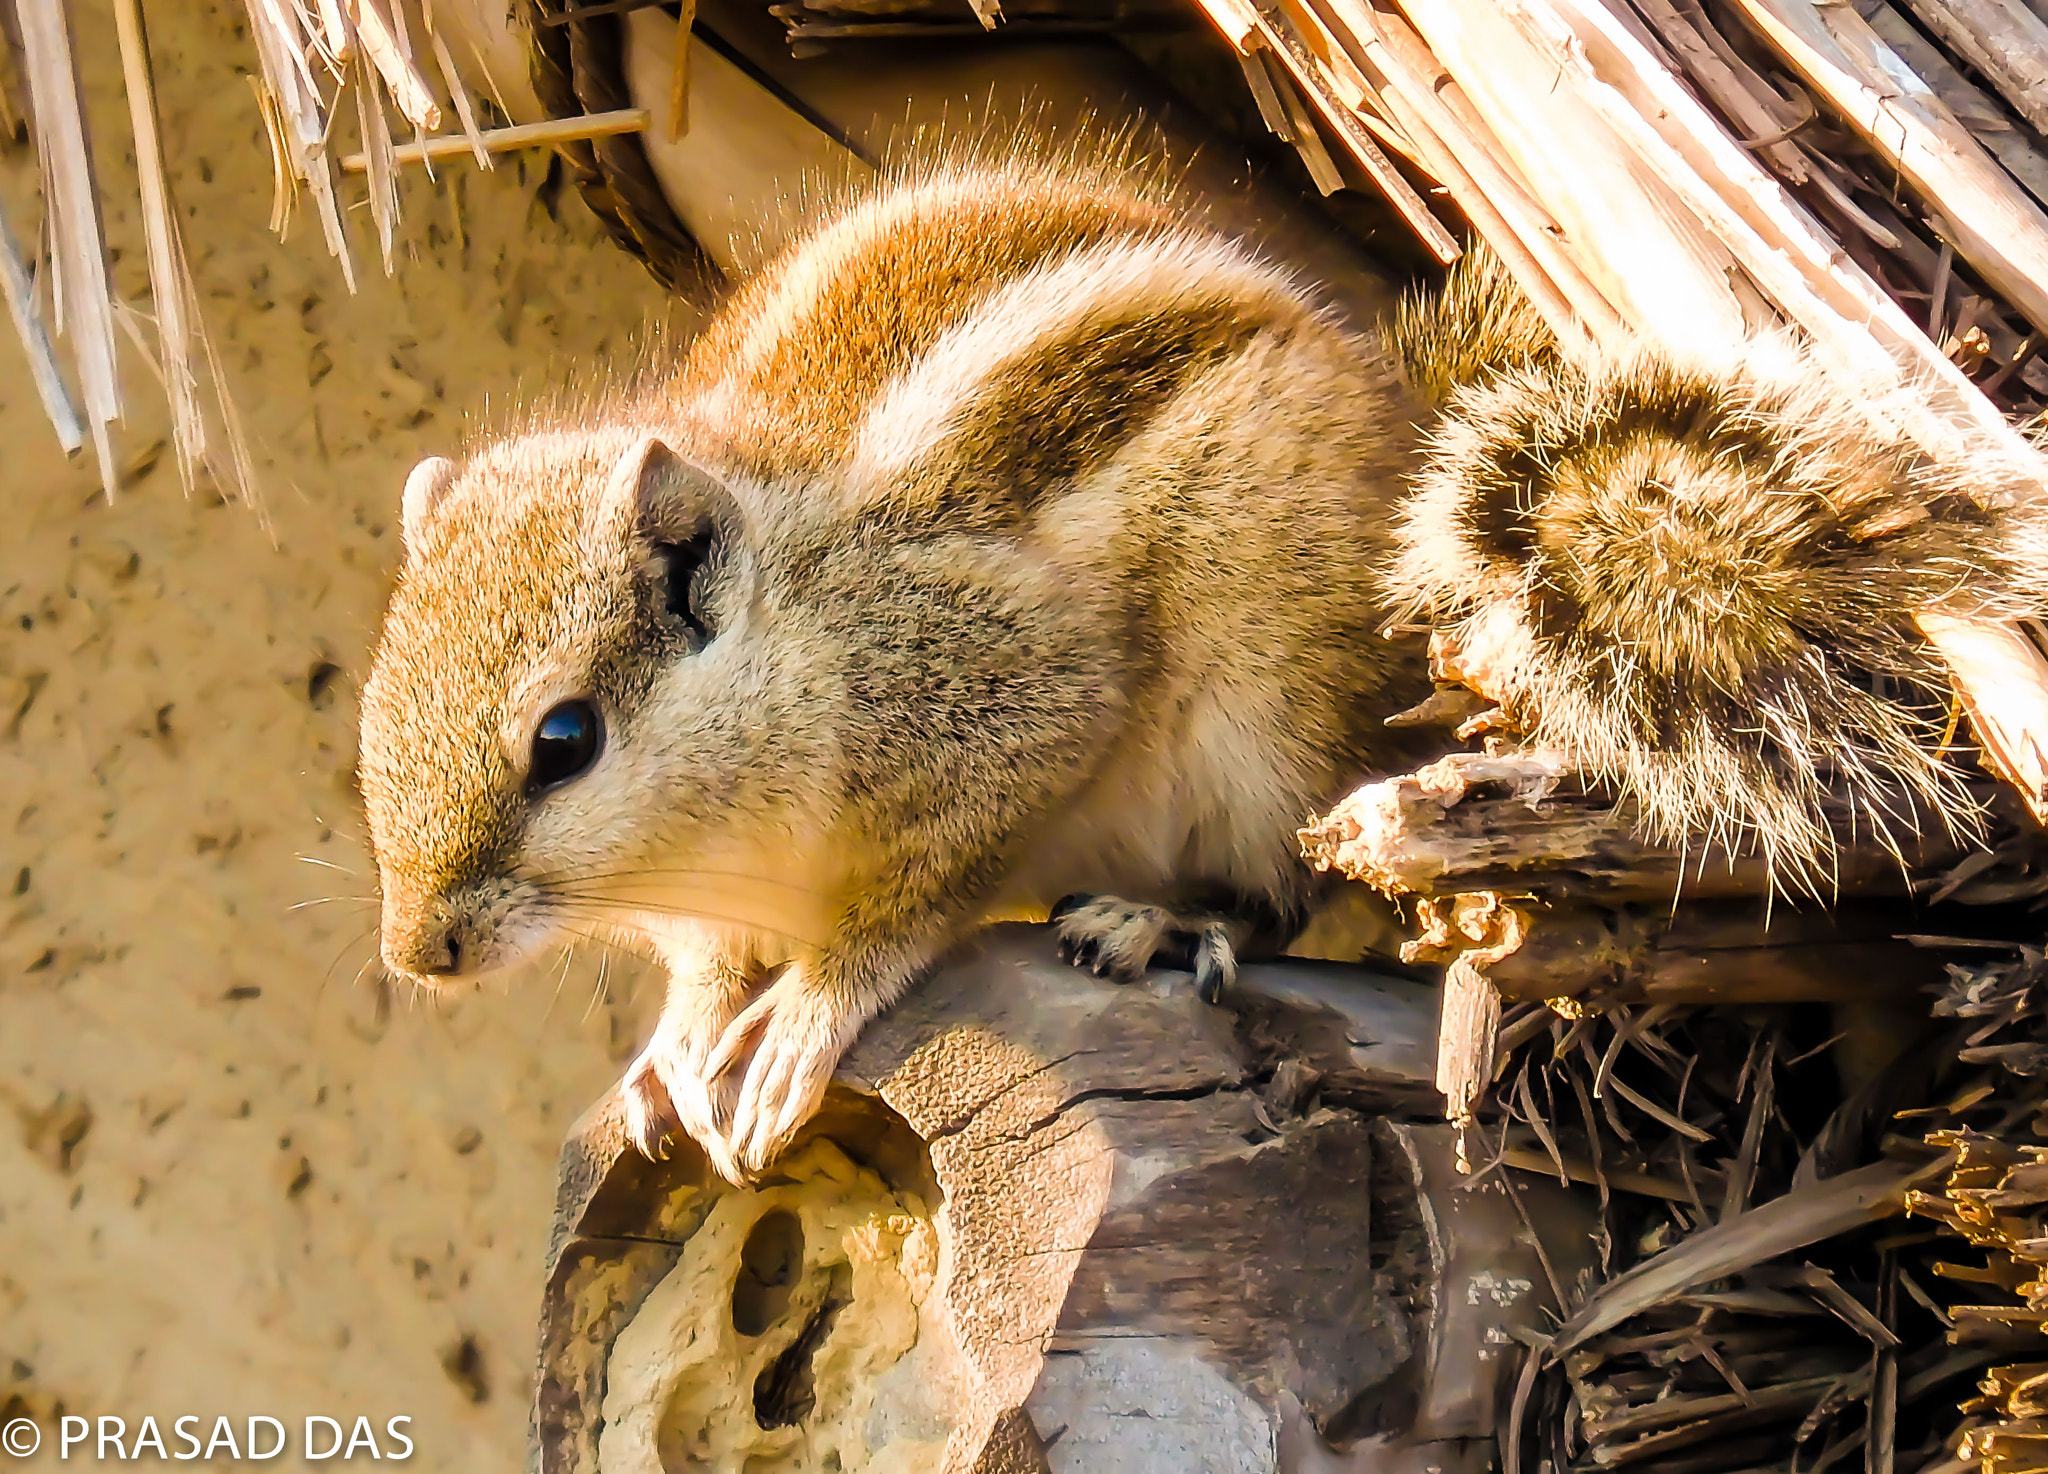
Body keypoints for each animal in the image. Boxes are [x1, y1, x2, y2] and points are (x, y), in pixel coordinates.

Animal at [356, 155, 2048, 1179]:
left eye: (563, 738)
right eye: (370, 725)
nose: (415, 953)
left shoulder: (1004, 705)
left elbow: (908, 906)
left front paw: (801, 1026)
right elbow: (704, 968)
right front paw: (673, 1049)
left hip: (1265, 719)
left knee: (1285, 891)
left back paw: (1161, 920)